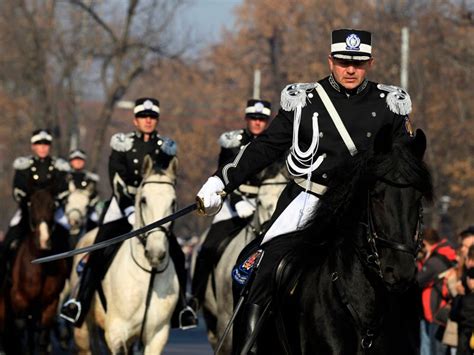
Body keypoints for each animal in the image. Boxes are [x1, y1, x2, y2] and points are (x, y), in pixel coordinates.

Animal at [71, 159, 180, 355]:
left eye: (173, 202)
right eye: (144, 200)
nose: (155, 253)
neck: (147, 275)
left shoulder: (157, 336)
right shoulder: (116, 333)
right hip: (83, 333)